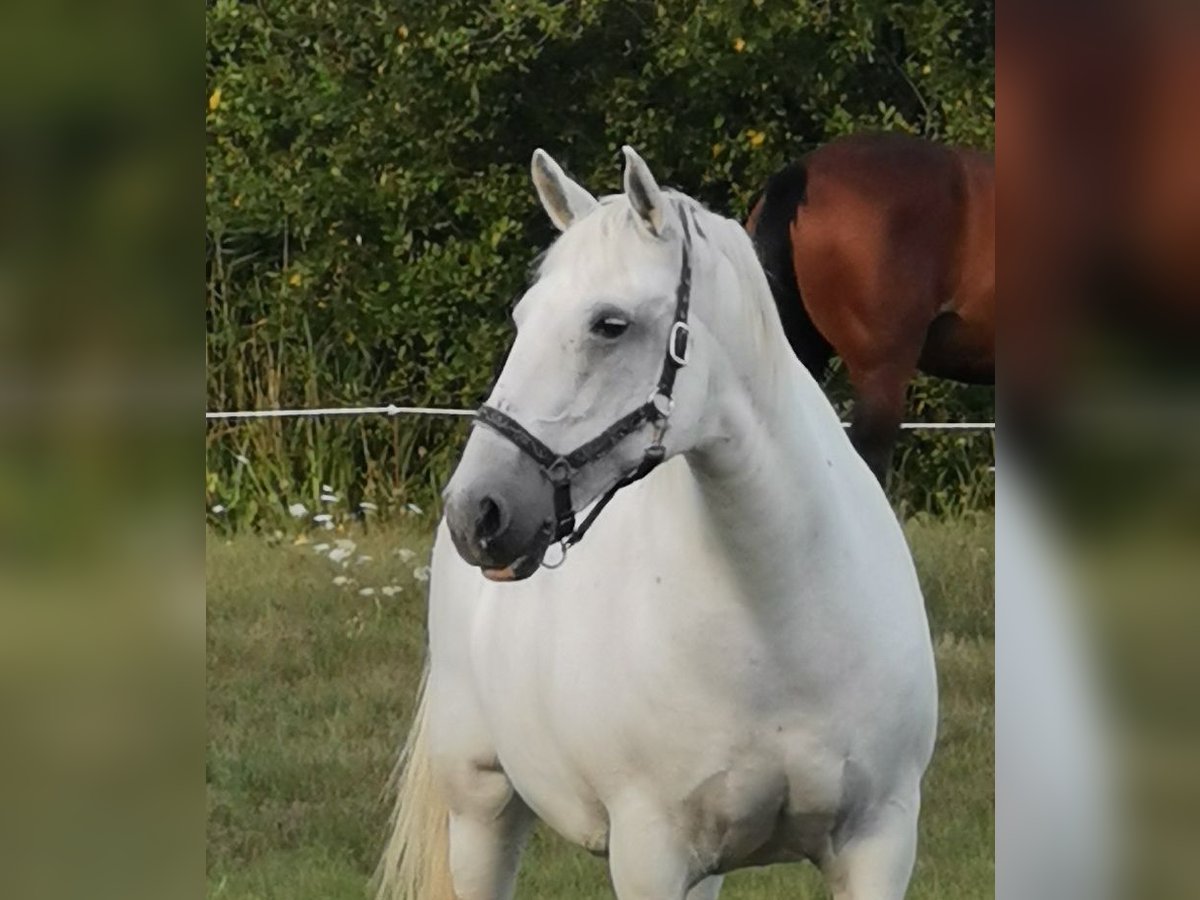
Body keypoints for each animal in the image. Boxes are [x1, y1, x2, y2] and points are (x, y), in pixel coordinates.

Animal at [379, 148, 940, 900]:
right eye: (523, 319)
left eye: (609, 324)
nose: (479, 510)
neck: (784, 625)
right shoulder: (652, 852)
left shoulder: (879, 841)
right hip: (482, 807)